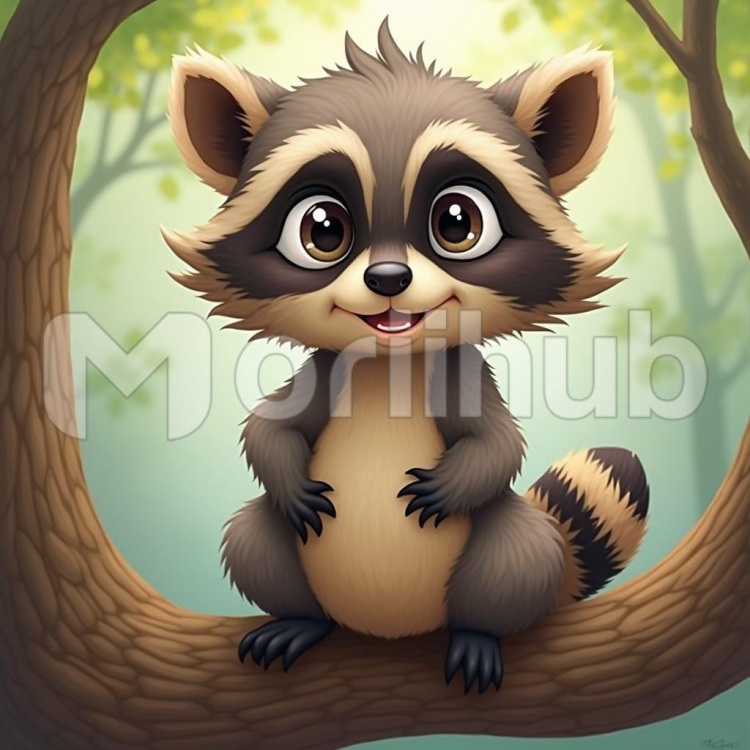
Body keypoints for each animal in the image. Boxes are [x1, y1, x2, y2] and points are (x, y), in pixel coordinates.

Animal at [164, 20, 649, 694]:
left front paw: (458, 481)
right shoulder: (327, 370)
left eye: (457, 222)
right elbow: (268, 426)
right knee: (253, 534)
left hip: (505, 555)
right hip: (283, 556)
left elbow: (498, 443)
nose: (388, 279)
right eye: (322, 229)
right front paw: (285, 475)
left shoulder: (459, 371)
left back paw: (479, 633)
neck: (389, 362)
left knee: (516, 552)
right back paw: (300, 619)